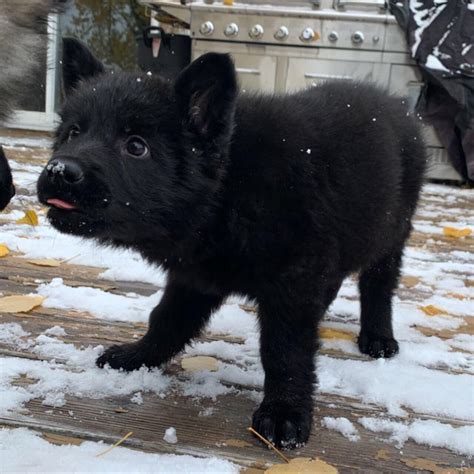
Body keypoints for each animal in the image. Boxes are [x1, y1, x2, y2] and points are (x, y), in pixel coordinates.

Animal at [37, 39, 426, 450]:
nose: (59, 171)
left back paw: (378, 336)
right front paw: (138, 355)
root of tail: (398, 104)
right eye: (73, 132)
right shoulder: (195, 277)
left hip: (391, 231)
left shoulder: (293, 281)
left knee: (379, 284)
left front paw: (285, 413)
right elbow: (167, 319)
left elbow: (285, 350)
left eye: (136, 146)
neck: (228, 189)